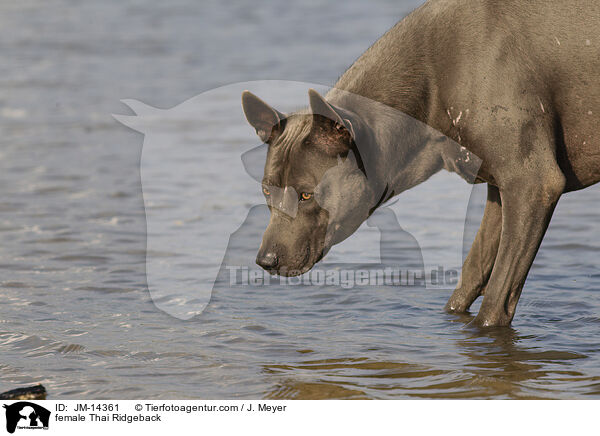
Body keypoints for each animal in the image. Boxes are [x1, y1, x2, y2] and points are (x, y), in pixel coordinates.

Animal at [240, 0, 600, 326]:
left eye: (306, 195)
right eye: (267, 192)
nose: (265, 261)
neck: (433, 82)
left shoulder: (532, 183)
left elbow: (497, 297)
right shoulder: (501, 187)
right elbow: (472, 273)